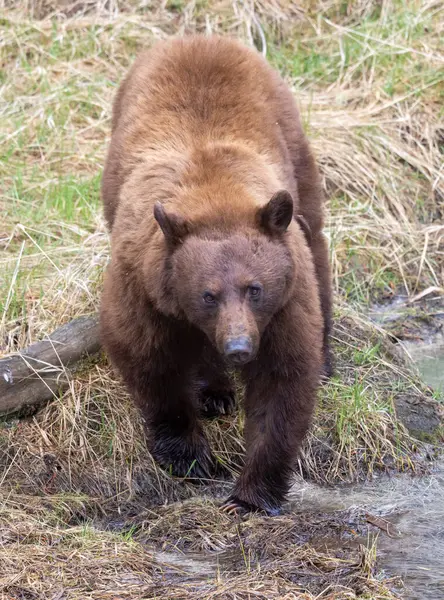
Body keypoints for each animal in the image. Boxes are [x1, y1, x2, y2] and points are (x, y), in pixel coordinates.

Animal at [99, 34, 332, 516]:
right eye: (208, 294)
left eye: (255, 288)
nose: (239, 347)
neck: (216, 200)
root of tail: (201, 37)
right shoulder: (144, 286)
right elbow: (148, 360)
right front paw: (190, 457)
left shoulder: (283, 303)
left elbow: (283, 380)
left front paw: (251, 495)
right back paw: (215, 392)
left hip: (291, 138)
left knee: (315, 233)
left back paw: (327, 358)